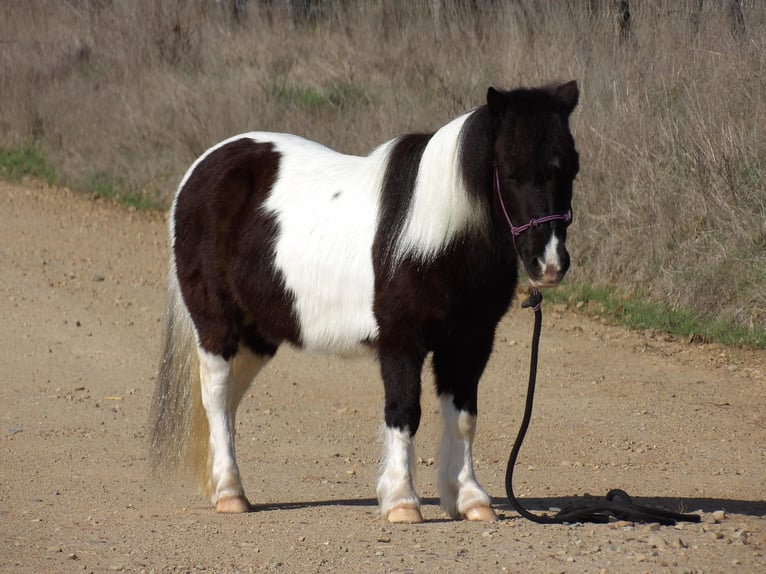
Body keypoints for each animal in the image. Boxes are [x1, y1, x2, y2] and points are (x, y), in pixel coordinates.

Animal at [148, 81, 580, 524]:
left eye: (570, 169)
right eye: (509, 171)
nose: (549, 264)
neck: (434, 240)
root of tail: (204, 166)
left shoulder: (469, 343)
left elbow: (463, 418)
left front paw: (470, 499)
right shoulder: (400, 343)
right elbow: (404, 413)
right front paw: (402, 501)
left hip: (259, 334)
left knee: (229, 401)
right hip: (218, 325)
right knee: (217, 395)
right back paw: (230, 493)